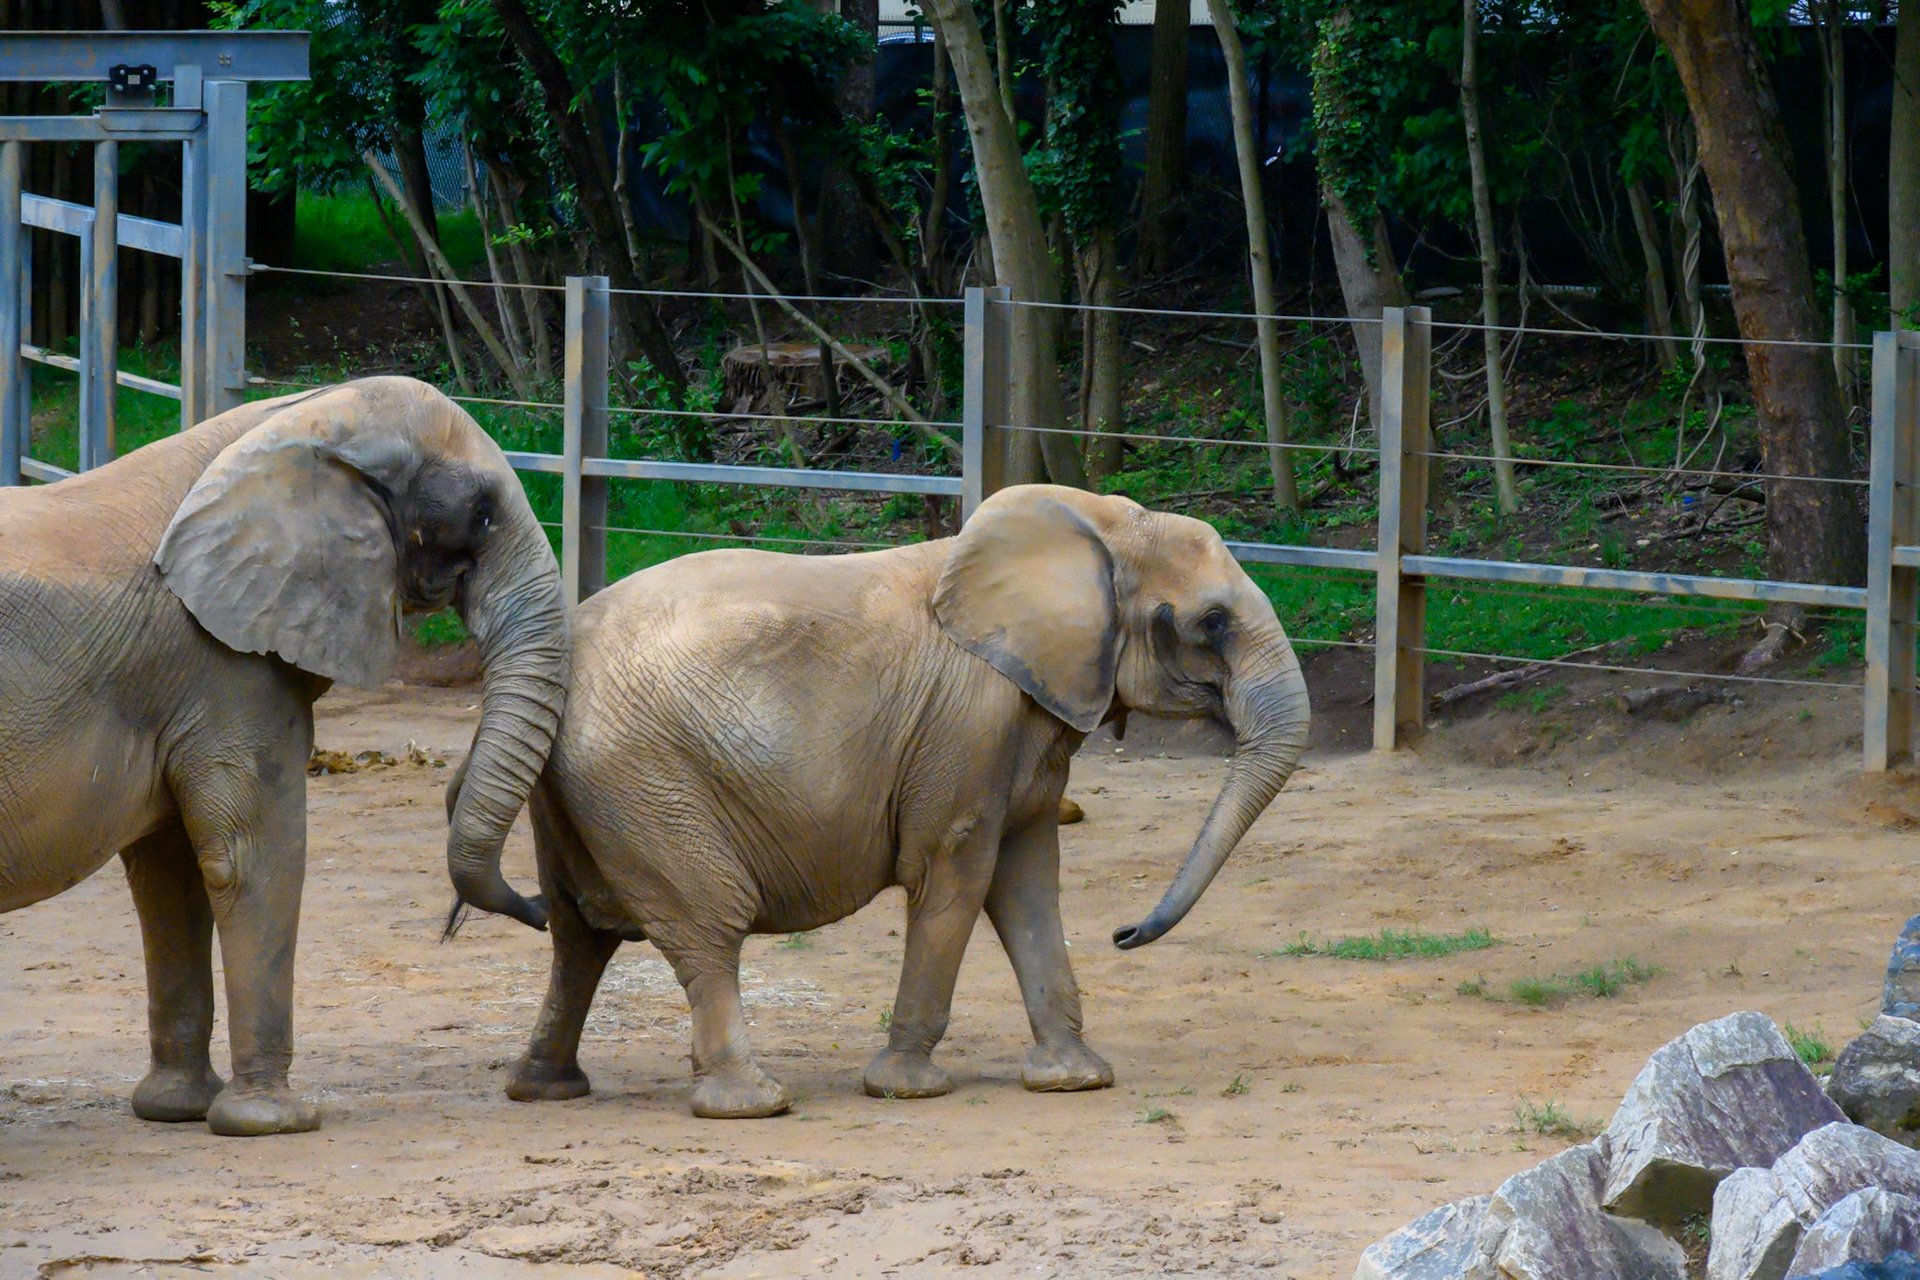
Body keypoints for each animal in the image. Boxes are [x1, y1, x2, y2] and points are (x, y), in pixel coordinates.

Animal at [0, 377, 564, 1136]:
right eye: (480, 514)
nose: (539, 907)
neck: (296, 420)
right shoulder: (223, 664)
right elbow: (255, 856)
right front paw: (278, 1121)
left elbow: (171, 873)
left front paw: (177, 1109)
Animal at [462, 483, 1311, 1119]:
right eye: (1213, 622)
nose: (1126, 933)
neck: (1093, 524)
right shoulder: (969, 722)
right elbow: (956, 872)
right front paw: (907, 1088)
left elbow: (1028, 878)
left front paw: (1074, 1080)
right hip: (643, 778)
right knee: (705, 923)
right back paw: (754, 1103)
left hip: (582, 788)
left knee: (578, 935)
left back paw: (545, 1088)